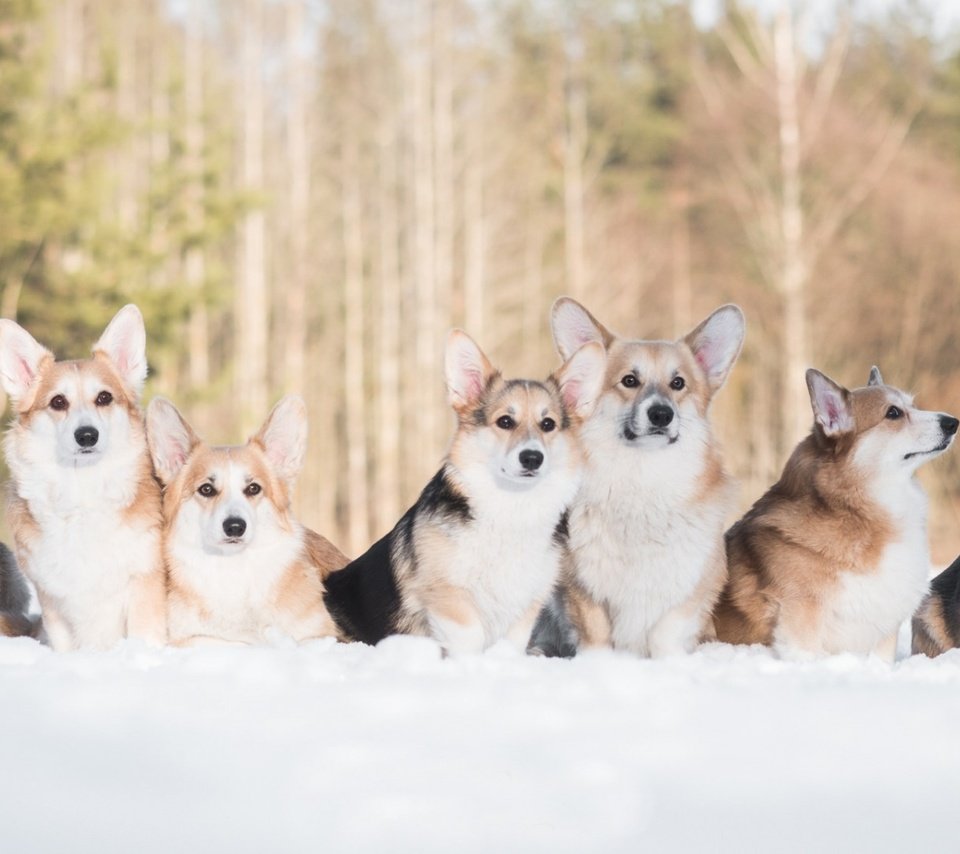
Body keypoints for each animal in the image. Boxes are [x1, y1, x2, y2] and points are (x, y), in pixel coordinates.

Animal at [0, 306, 166, 648]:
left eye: (104, 398)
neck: (82, 489)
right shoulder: (53, 602)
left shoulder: (144, 587)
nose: (87, 435)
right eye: (58, 402)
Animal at [544, 298, 748, 660]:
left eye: (678, 383)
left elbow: (665, 632)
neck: (642, 481)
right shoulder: (582, 589)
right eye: (629, 380)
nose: (661, 414)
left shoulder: (691, 589)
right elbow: (596, 636)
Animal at [716, 368, 956, 664]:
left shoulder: (883, 630)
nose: (953, 422)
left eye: (912, 405)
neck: (856, 510)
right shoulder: (801, 626)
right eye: (893, 413)